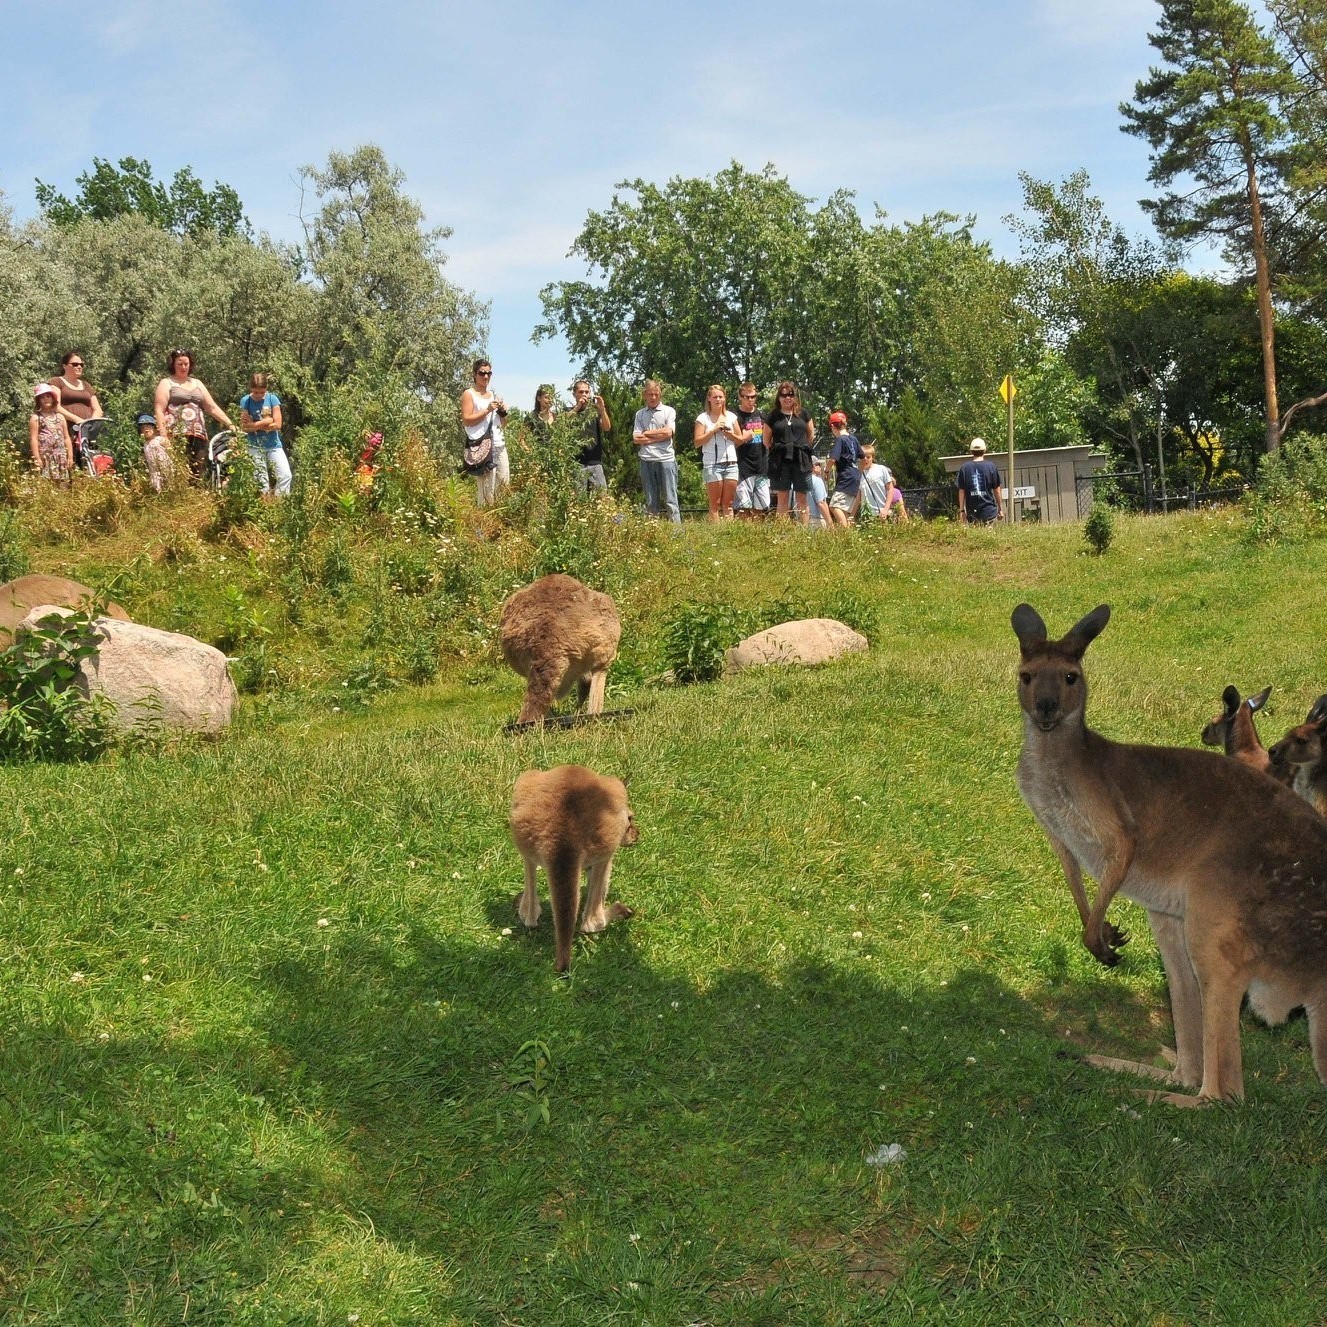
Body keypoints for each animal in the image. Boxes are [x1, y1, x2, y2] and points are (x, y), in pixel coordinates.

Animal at [1012, 603, 1327, 1106]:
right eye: (1026, 677)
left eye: (1070, 677)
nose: (1045, 709)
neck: (1058, 757)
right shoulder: (1056, 832)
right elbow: (1075, 880)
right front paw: (1103, 932)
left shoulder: (1119, 825)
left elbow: (1120, 855)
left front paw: (1100, 941)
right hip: (1172, 919)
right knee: (1186, 1001)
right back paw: (1136, 1068)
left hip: (1219, 911)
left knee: (1227, 1096)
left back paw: (1154, 1094)